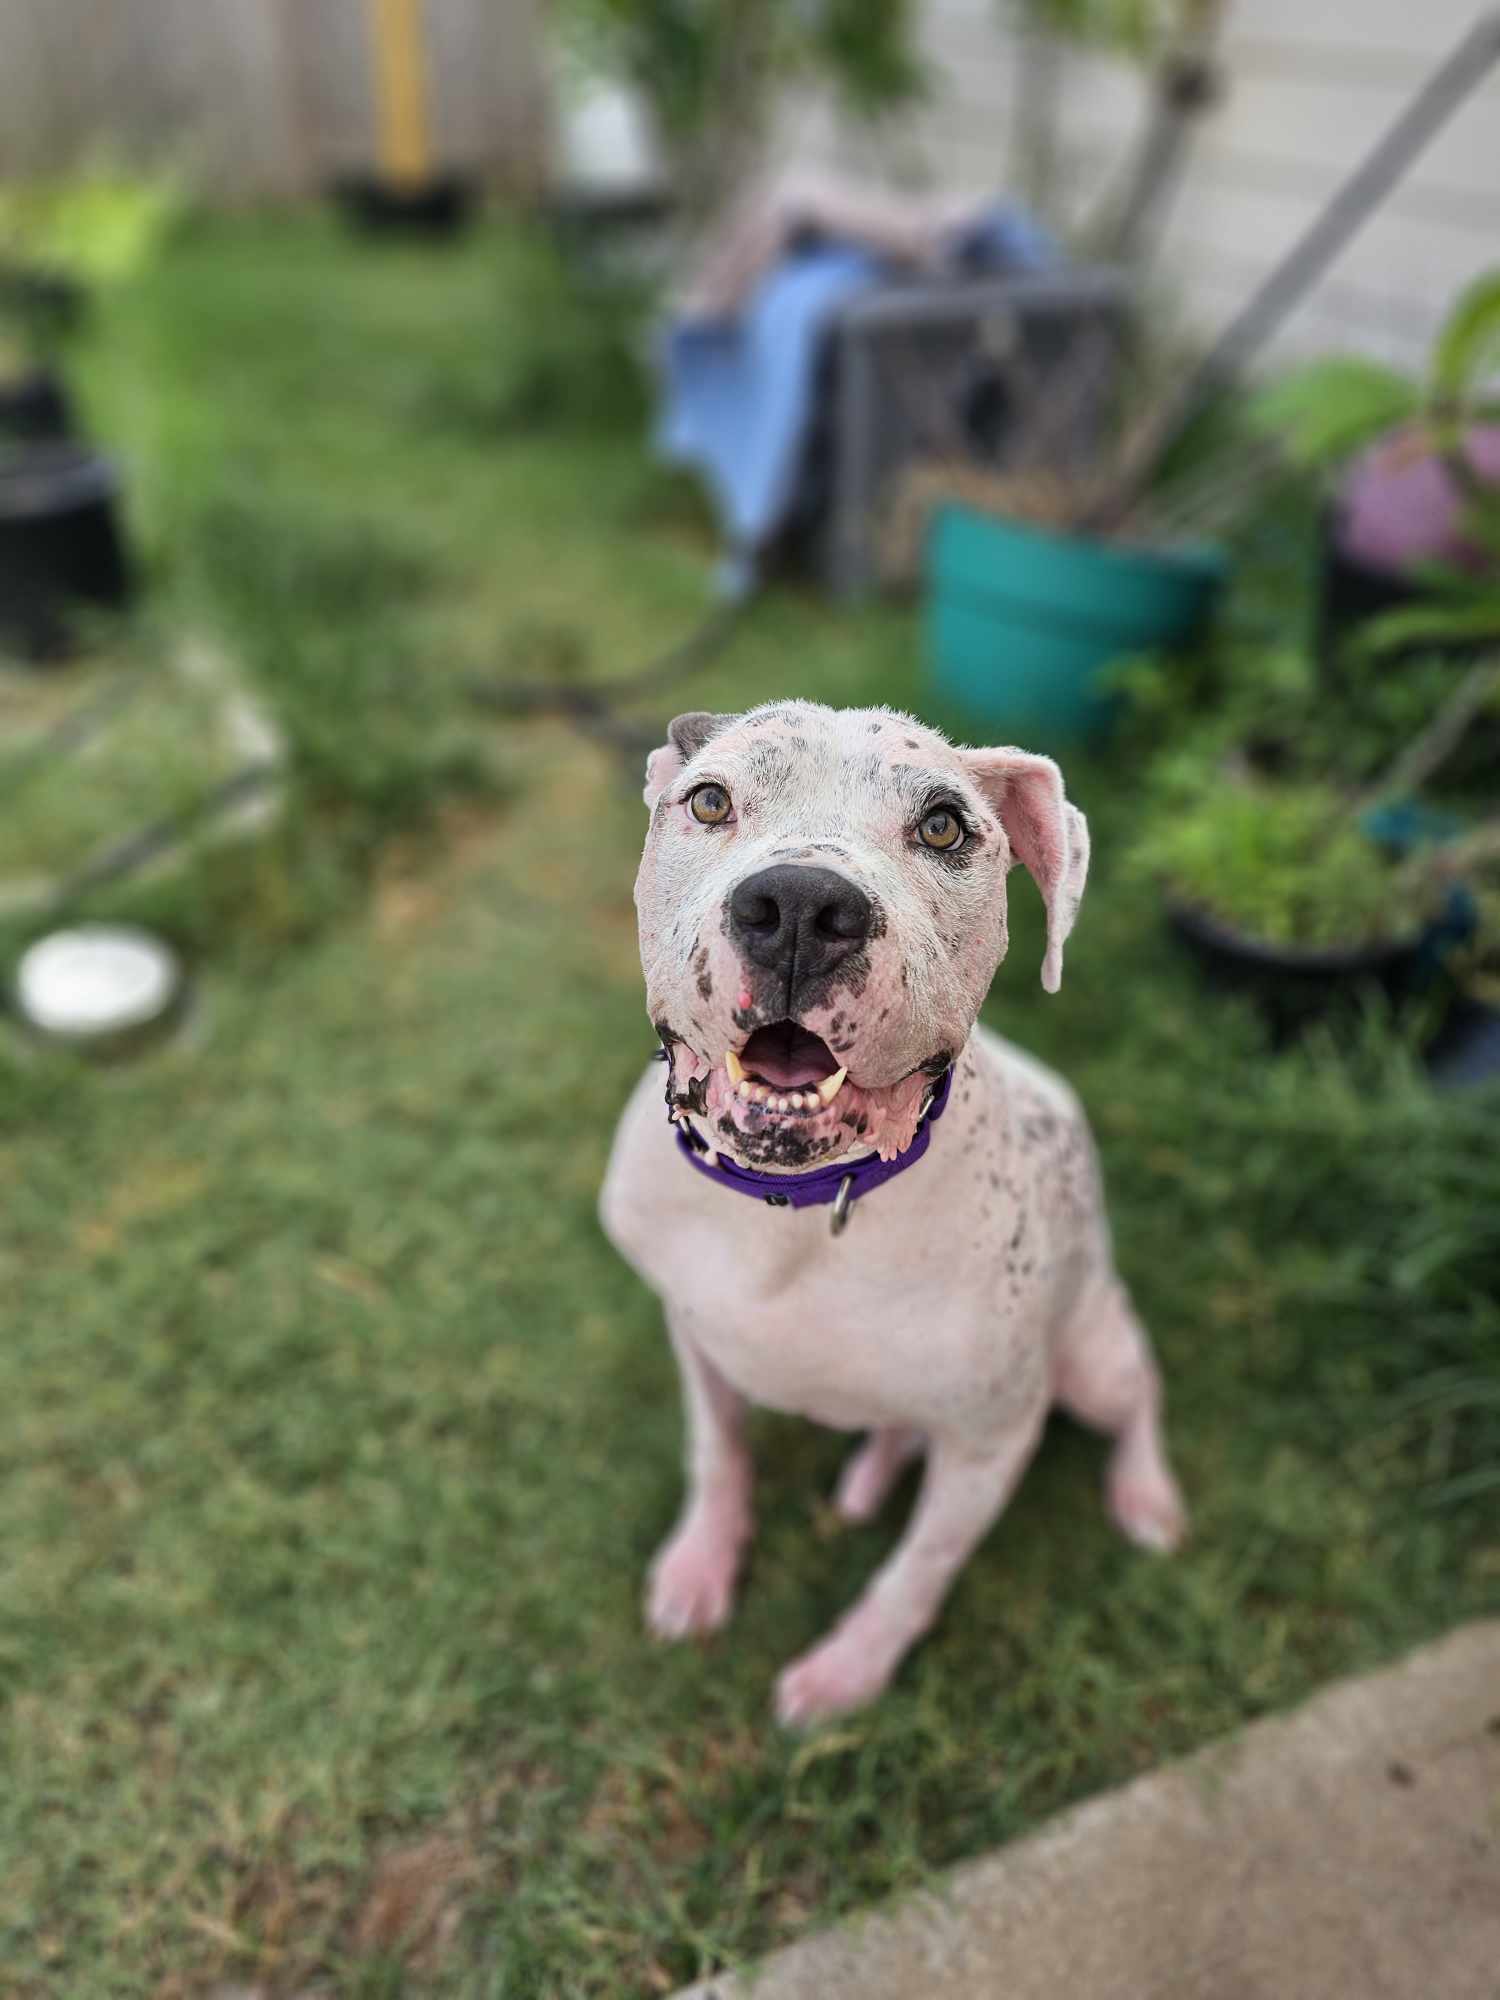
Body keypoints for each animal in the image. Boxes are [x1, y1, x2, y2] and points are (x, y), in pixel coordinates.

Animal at [604, 700, 1184, 1720]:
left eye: (944, 826)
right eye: (708, 800)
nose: (799, 908)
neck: (799, 1207)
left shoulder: (993, 1441)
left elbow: (919, 1569)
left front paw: (848, 1670)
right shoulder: (693, 1332)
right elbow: (717, 1453)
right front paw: (699, 1567)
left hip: (1091, 1358)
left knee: (1140, 1393)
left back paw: (1147, 1495)